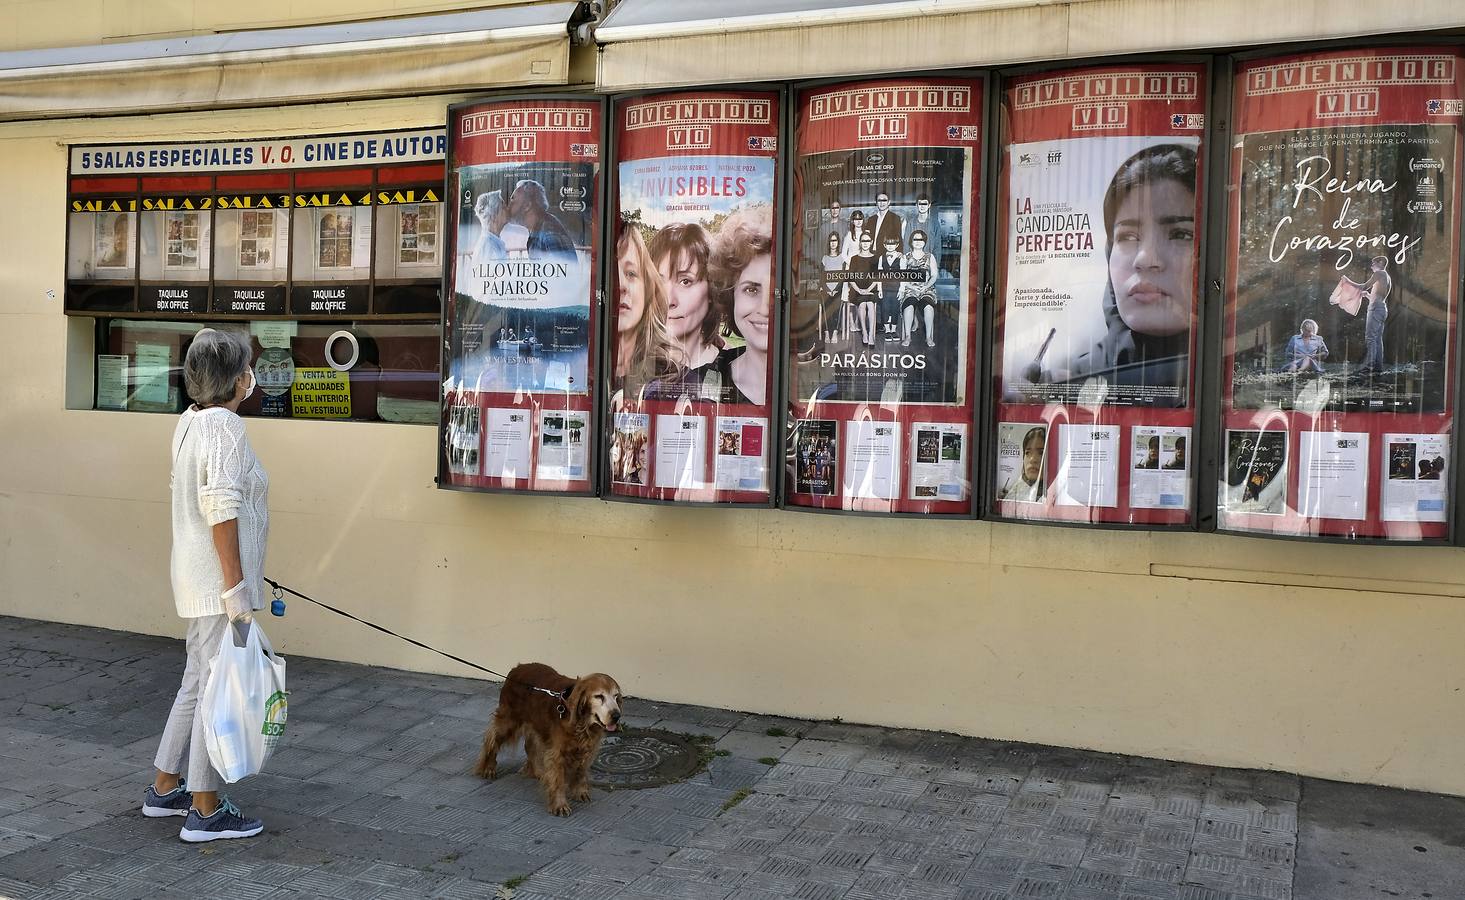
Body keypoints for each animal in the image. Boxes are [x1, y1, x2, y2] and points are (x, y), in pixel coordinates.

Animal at [474, 662, 624, 820]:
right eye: (599, 696)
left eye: (616, 697)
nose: (616, 716)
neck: (581, 724)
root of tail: (516, 669)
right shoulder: (557, 753)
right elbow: (558, 779)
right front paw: (560, 805)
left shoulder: (588, 749)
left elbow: (580, 771)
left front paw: (580, 792)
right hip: (508, 721)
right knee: (492, 740)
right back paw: (488, 768)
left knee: (529, 746)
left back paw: (537, 771)